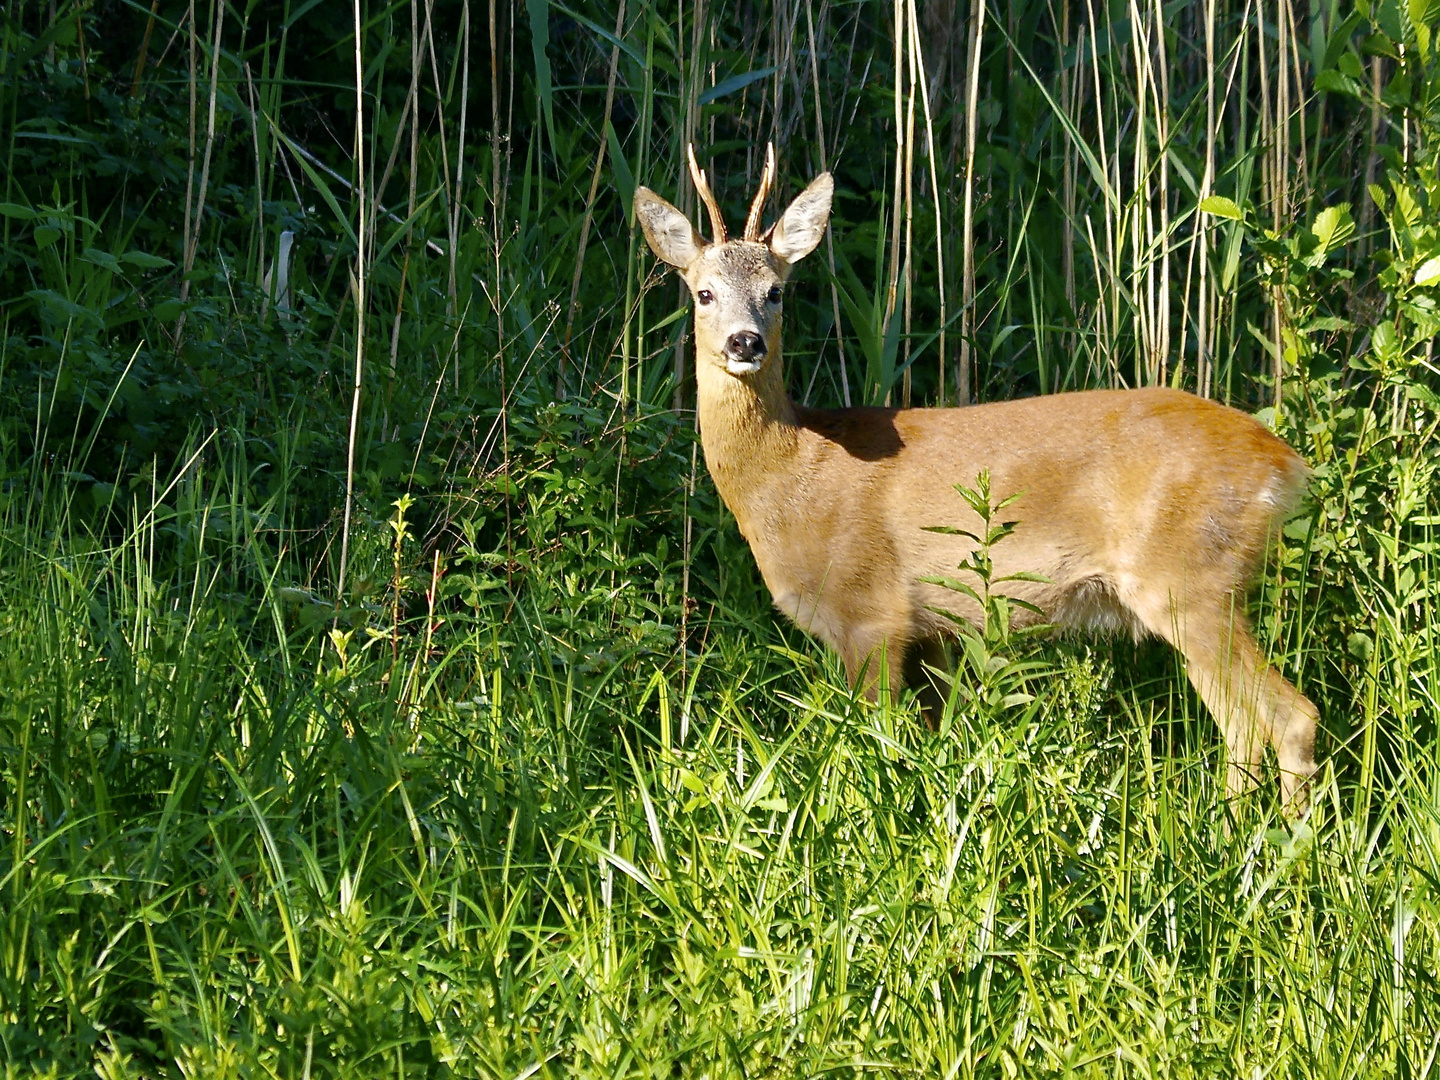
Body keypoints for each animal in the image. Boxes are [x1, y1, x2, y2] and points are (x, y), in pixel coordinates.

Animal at [636, 148, 1319, 817]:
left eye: (777, 290)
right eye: (703, 292)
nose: (744, 341)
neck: (790, 472)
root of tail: (1283, 464)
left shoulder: (871, 611)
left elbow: (872, 739)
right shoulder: (932, 631)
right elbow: (935, 733)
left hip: (1189, 580)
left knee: (1284, 717)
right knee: (1250, 724)